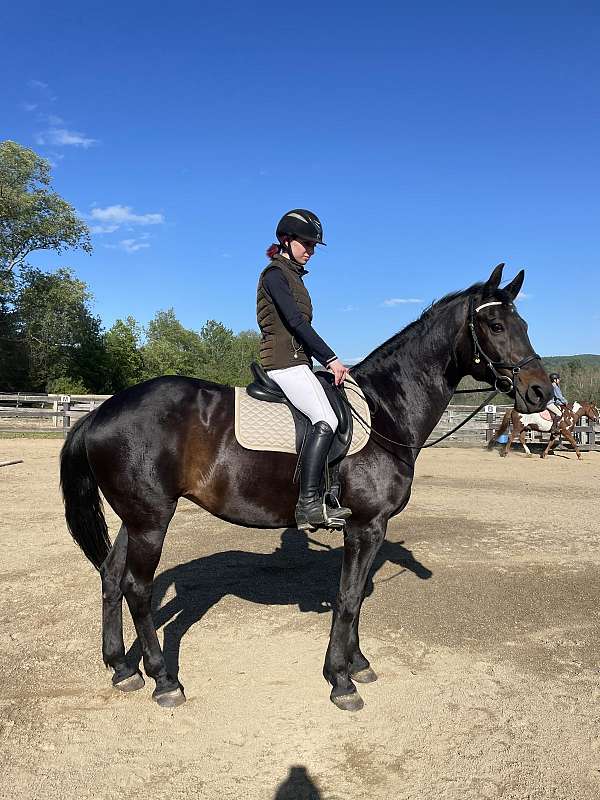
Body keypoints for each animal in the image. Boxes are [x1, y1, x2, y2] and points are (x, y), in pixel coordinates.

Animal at [61, 262, 552, 712]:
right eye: (495, 325)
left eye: (525, 325)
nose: (541, 393)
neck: (385, 410)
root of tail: (100, 412)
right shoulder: (366, 525)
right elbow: (349, 598)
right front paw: (341, 680)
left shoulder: (369, 529)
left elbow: (354, 598)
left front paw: (358, 664)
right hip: (151, 522)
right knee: (138, 589)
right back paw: (164, 681)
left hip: (136, 518)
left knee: (111, 576)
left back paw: (122, 669)